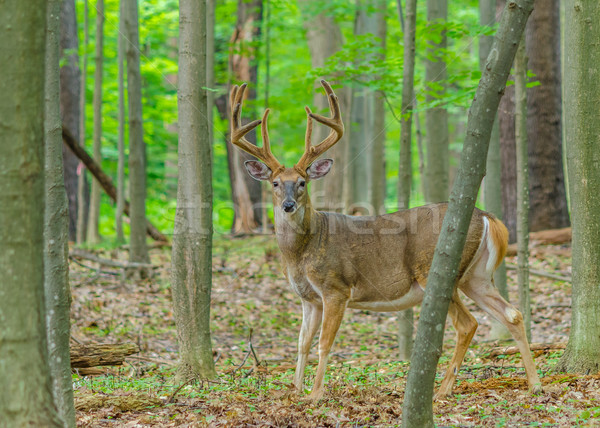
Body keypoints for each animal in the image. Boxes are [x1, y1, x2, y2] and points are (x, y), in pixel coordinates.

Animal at [227, 80, 540, 402]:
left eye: (302, 182)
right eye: (276, 183)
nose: (288, 205)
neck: (302, 253)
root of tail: (486, 216)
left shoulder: (336, 288)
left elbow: (324, 343)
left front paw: (315, 394)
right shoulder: (308, 298)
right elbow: (301, 344)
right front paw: (295, 391)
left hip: (437, 272)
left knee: (468, 324)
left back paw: (442, 391)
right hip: (474, 277)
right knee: (512, 314)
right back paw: (534, 383)